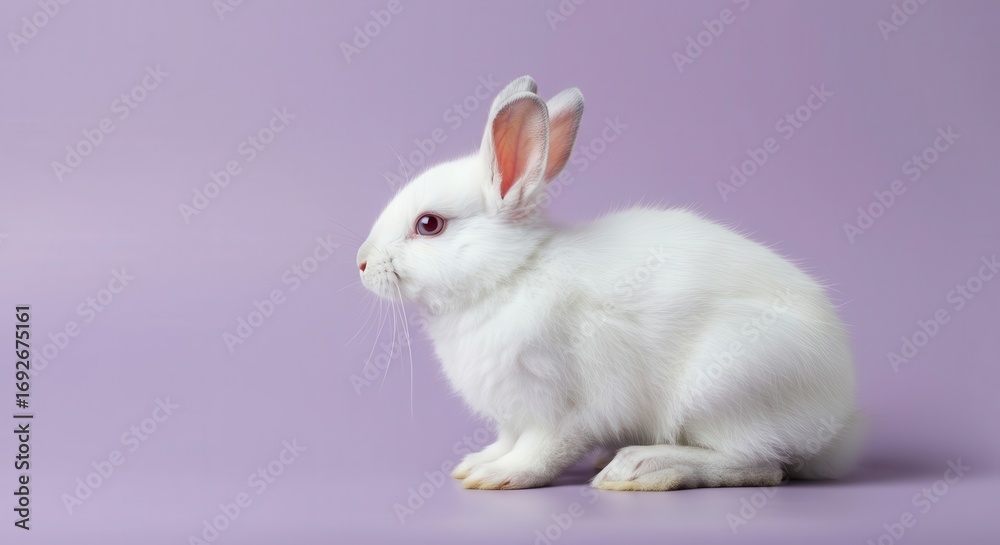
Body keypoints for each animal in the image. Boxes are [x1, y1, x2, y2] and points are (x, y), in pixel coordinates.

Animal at [357, 75, 861, 491]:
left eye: (429, 225)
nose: (361, 262)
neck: (509, 275)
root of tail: (838, 421)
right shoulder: (512, 415)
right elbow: (506, 439)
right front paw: (477, 463)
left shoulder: (559, 408)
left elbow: (540, 451)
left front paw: (498, 476)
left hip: (725, 388)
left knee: (759, 464)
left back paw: (642, 468)